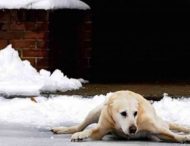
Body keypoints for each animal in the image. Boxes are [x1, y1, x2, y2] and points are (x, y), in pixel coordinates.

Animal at [51, 90, 190, 143]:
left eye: (135, 113)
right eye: (123, 113)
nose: (133, 129)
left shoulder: (153, 128)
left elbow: (171, 135)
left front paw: (184, 137)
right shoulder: (103, 126)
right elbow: (91, 130)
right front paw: (80, 135)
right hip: (96, 111)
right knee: (80, 126)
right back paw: (61, 129)